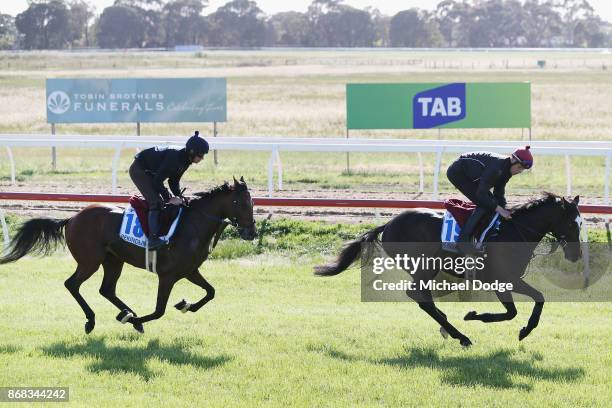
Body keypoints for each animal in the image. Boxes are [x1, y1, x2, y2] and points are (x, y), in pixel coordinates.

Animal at [0, 177, 256, 334]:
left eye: (252, 203)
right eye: (239, 202)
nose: (251, 232)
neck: (192, 226)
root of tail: (72, 218)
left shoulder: (190, 270)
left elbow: (211, 292)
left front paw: (186, 305)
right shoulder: (168, 275)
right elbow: (159, 311)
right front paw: (133, 320)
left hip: (113, 260)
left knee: (106, 289)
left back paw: (124, 312)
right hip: (90, 261)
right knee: (72, 284)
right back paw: (94, 319)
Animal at [316, 194, 584, 348]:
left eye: (582, 224)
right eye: (572, 224)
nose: (576, 255)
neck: (512, 232)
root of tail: (389, 224)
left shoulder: (508, 280)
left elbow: (529, 303)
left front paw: (522, 329)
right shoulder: (502, 279)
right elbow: (519, 308)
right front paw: (478, 317)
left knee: (423, 298)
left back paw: (447, 325)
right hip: (425, 266)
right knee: (419, 297)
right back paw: (460, 335)